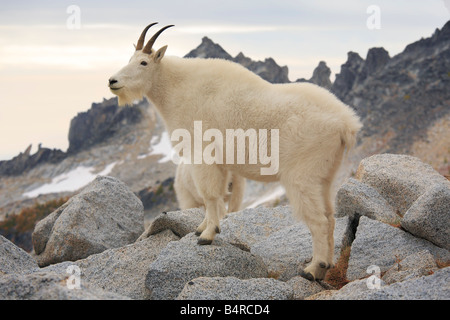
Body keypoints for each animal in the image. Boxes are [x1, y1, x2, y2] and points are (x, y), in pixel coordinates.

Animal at [109, 23, 362, 280]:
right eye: (130, 59)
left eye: (143, 62)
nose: (112, 81)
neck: (176, 89)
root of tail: (346, 124)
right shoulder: (221, 165)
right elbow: (216, 197)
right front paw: (201, 227)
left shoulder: (202, 155)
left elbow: (211, 196)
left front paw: (207, 235)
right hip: (325, 174)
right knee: (330, 217)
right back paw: (324, 267)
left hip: (302, 175)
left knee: (318, 220)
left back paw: (312, 269)